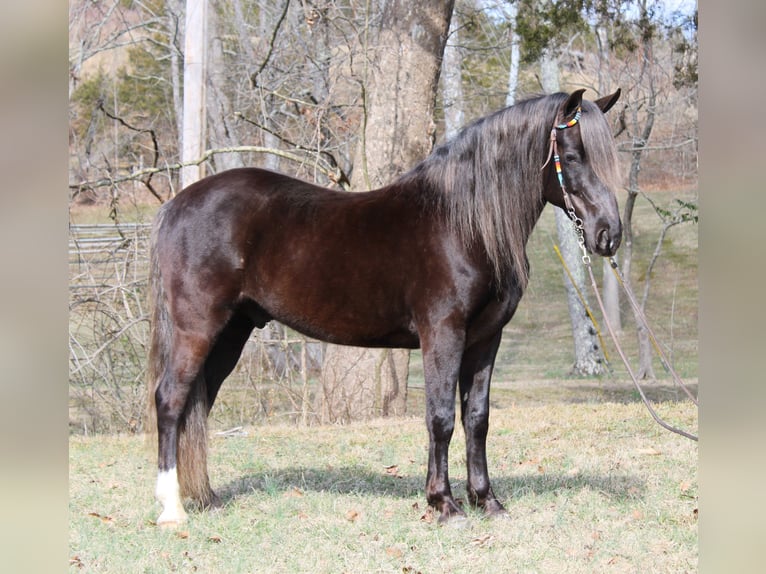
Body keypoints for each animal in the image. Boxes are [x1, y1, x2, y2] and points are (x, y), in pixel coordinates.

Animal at [147, 88, 623, 527]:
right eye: (573, 155)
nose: (609, 234)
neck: (462, 224)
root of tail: (176, 205)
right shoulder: (442, 334)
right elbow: (440, 418)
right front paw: (444, 504)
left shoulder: (486, 339)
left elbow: (477, 418)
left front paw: (487, 501)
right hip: (198, 326)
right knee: (171, 400)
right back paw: (172, 509)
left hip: (232, 332)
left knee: (198, 404)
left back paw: (205, 498)